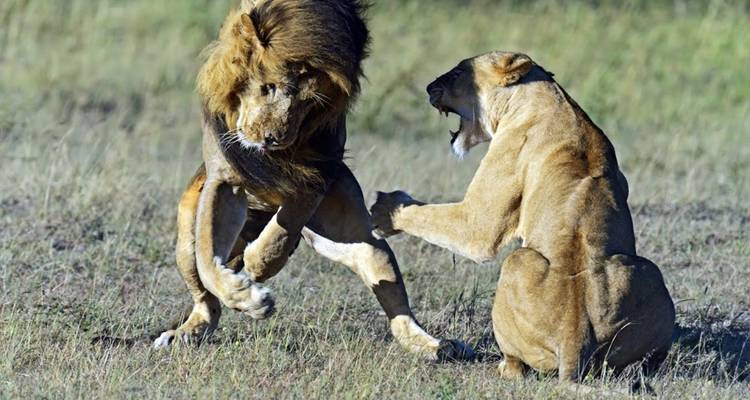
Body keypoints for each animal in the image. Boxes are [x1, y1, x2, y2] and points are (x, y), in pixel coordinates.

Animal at [153, 0, 473, 361]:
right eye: (268, 86)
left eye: (309, 103)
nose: (272, 138)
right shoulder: (224, 180)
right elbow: (208, 261)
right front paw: (249, 295)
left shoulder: (317, 173)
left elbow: (281, 232)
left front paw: (256, 268)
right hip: (185, 240)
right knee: (205, 297)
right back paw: (187, 332)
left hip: (359, 237)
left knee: (391, 294)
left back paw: (436, 346)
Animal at [370, 51, 675, 381]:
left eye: (458, 73)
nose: (428, 88)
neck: (548, 97)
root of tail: (574, 338)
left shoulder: (481, 219)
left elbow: (440, 220)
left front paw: (386, 210)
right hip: (647, 271)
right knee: (649, 360)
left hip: (516, 261)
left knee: (517, 365)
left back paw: (504, 365)